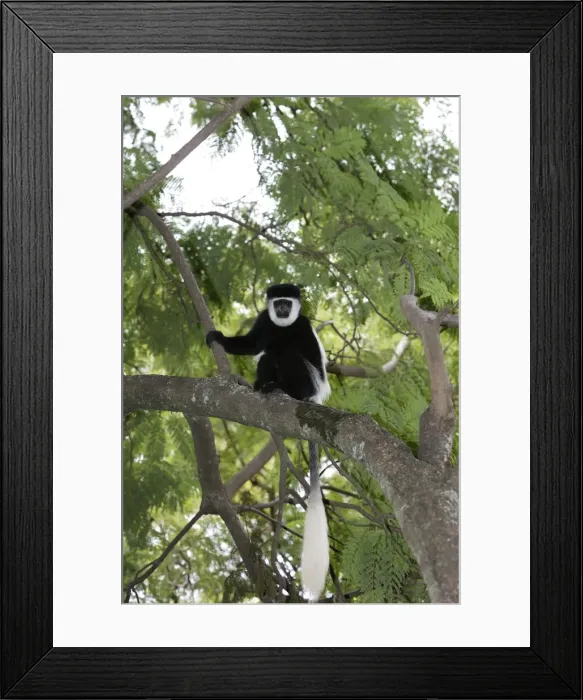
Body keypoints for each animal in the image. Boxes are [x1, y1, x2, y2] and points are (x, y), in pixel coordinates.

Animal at [206, 283, 330, 601]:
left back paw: (286, 390)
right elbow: (252, 345)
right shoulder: (264, 320)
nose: (283, 310)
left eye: (288, 303)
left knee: (288, 354)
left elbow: (311, 359)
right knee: (267, 356)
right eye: (278, 304)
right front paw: (218, 338)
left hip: (305, 381)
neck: (283, 326)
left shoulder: (303, 326)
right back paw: (265, 385)